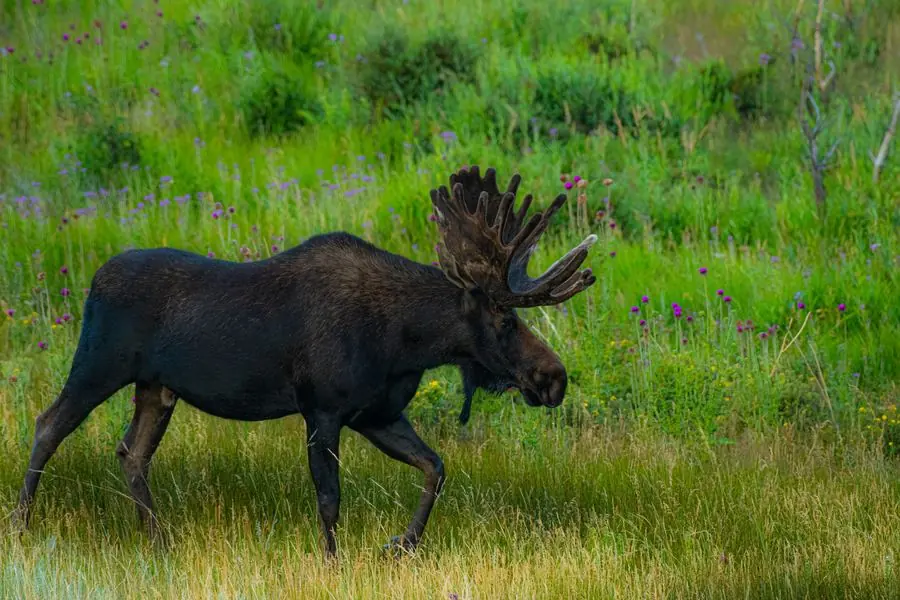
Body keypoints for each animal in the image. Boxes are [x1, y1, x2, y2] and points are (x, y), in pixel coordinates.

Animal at [14, 165, 597, 559]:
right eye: (504, 319)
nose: (555, 378)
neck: (407, 342)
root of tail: (93, 280)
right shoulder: (322, 408)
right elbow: (330, 498)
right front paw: (333, 563)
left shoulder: (376, 413)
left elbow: (436, 466)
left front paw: (400, 544)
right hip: (97, 366)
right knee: (48, 424)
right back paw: (21, 526)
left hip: (156, 388)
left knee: (131, 453)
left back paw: (160, 541)